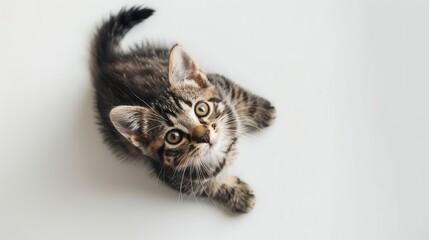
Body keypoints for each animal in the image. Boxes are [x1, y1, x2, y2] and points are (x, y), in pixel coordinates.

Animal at [91, 6, 276, 213]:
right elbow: (210, 187)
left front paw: (263, 111)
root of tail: (108, 65)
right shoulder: (172, 176)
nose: (204, 136)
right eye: (174, 137)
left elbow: (239, 95)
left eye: (201, 109)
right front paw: (240, 195)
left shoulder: (219, 82)